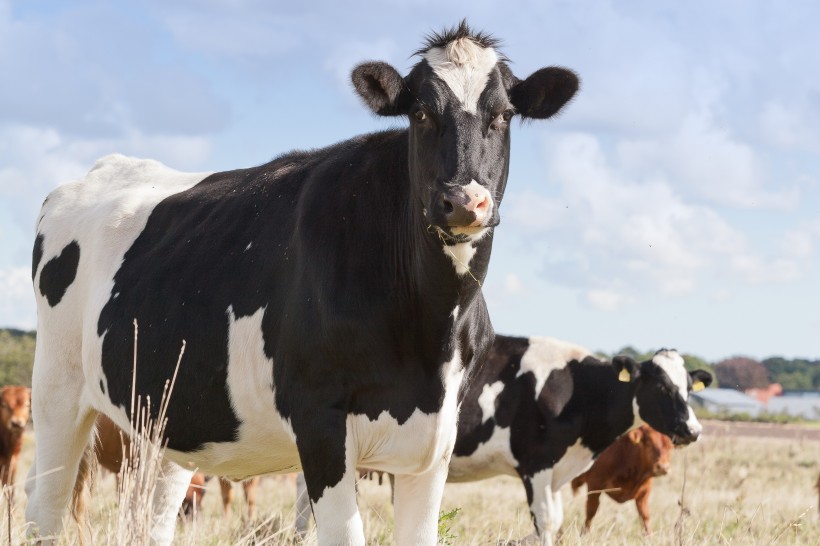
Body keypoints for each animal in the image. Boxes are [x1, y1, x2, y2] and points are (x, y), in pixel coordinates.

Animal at [25, 21, 576, 544]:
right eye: (420, 113)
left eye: (502, 114)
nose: (463, 201)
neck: (429, 330)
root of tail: (103, 167)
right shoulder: (320, 423)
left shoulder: (435, 438)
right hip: (56, 389)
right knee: (43, 509)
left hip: (166, 416)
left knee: (153, 516)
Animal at [448, 334, 712, 540]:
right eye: (662, 387)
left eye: (689, 388)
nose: (693, 430)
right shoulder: (536, 465)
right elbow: (546, 522)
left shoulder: (555, 473)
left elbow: (555, 520)